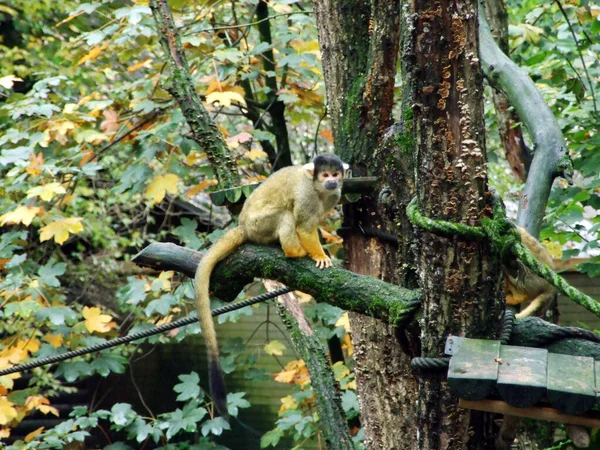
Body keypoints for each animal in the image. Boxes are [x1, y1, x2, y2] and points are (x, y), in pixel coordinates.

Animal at [195, 155, 350, 414]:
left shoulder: (334, 195)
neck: (318, 188)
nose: (331, 181)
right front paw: (320, 256)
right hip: (259, 224)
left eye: (335, 175)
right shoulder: (306, 191)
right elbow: (304, 225)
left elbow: (313, 222)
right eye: (325, 175)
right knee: (286, 214)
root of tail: (243, 225)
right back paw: (294, 251)